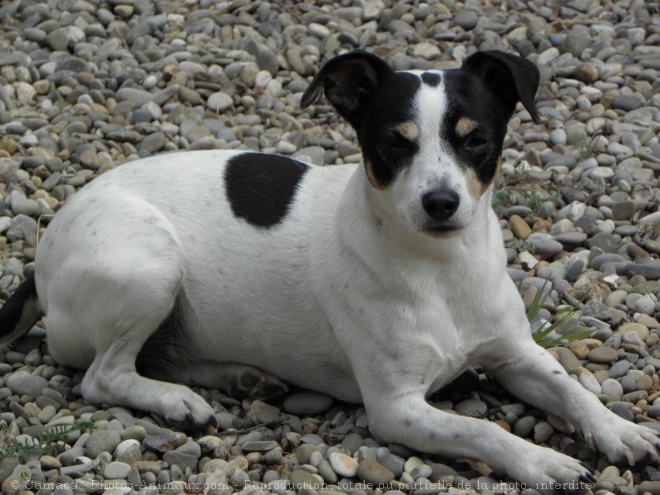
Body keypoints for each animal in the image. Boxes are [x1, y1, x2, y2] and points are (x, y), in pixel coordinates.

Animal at [1, 48, 660, 490]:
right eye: (394, 142)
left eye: (475, 140)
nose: (441, 202)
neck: (440, 270)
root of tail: (44, 253)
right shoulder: (397, 408)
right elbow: (485, 431)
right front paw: (543, 460)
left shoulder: (516, 353)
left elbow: (570, 389)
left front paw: (618, 430)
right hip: (149, 265)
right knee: (104, 375)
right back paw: (174, 400)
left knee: (157, 356)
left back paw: (240, 377)